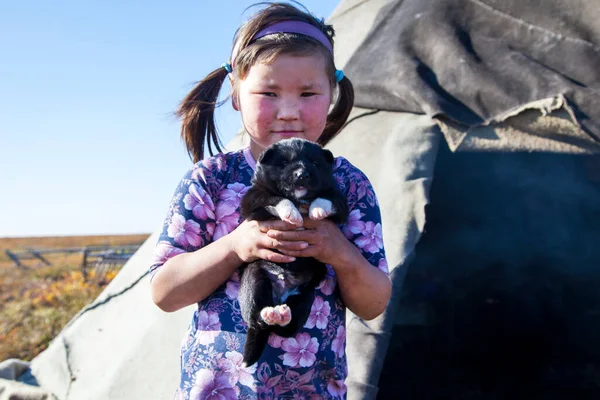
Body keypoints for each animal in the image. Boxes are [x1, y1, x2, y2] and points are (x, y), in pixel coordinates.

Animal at [239, 139, 350, 368]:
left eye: (315, 164)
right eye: (284, 163)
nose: (302, 175)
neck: (300, 200)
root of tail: (280, 295)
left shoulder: (339, 199)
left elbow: (327, 197)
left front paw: (317, 210)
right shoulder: (253, 200)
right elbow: (276, 198)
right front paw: (292, 213)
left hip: (305, 298)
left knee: (286, 328)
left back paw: (281, 315)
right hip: (254, 279)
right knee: (257, 318)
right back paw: (268, 314)